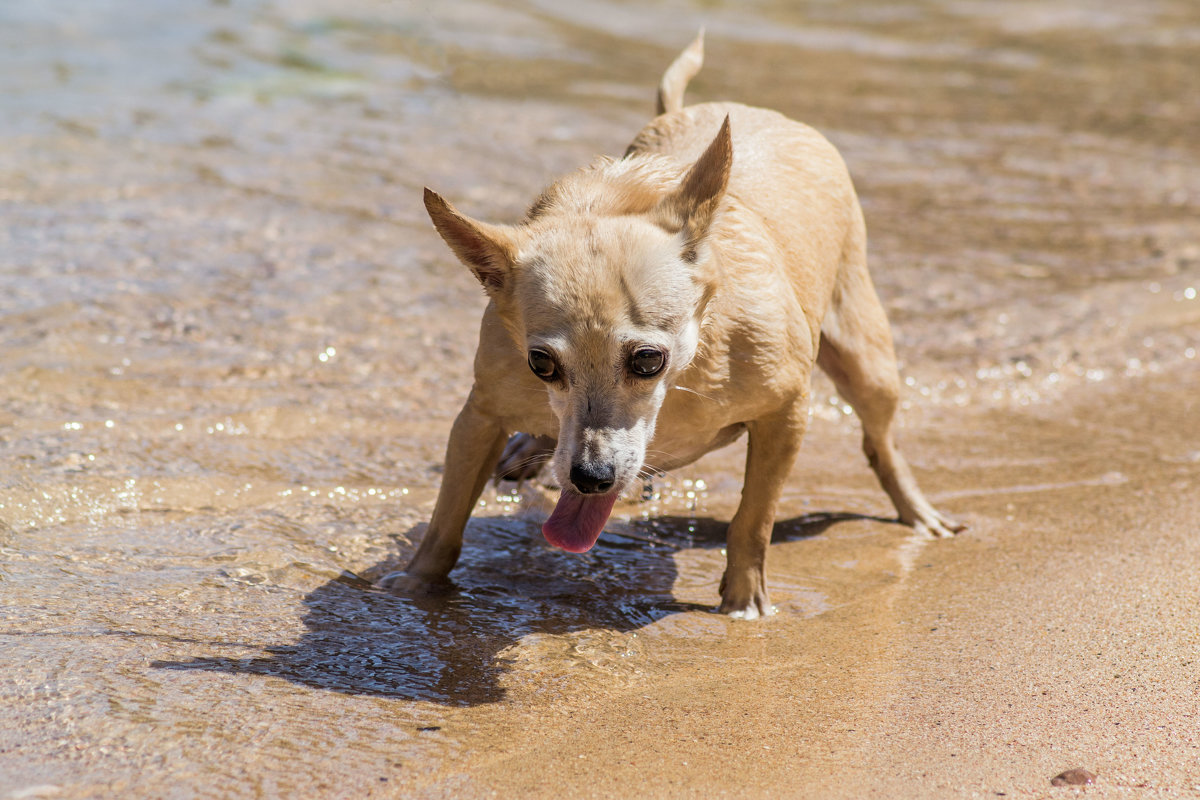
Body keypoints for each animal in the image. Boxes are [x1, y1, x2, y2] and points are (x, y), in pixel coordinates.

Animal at [384, 32, 964, 618]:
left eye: (647, 360)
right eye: (541, 364)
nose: (589, 477)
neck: (686, 370)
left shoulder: (786, 415)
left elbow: (754, 519)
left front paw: (744, 602)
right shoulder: (479, 417)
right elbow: (447, 516)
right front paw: (416, 584)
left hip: (867, 362)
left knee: (881, 442)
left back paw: (919, 513)